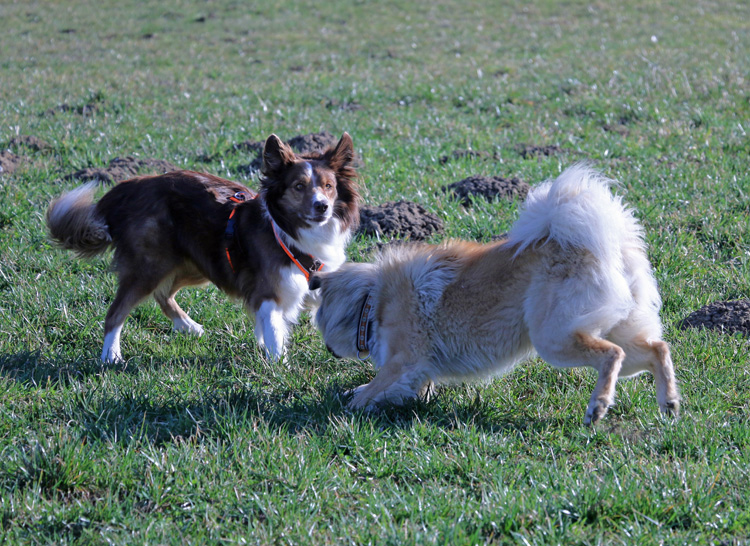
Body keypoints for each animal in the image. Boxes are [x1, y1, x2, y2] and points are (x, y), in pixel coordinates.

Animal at [48, 132, 360, 362]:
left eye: (329, 186)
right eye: (298, 186)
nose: (322, 206)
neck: (290, 231)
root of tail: (129, 186)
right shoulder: (268, 292)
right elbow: (273, 331)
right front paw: (278, 367)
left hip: (198, 262)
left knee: (163, 294)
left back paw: (189, 327)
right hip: (150, 266)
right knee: (116, 313)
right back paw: (111, 356)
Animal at [312, 164, 680, 422]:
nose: (328, 350)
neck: (371, 302)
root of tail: (604, 245)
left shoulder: (403, 362)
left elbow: (373, 388)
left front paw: (349, 406)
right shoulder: (416, 374)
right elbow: (390, 390)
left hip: (554, 338)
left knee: (611, 356)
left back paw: (598, 406)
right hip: (616, 331)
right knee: (656, 349)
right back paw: (669, 403)